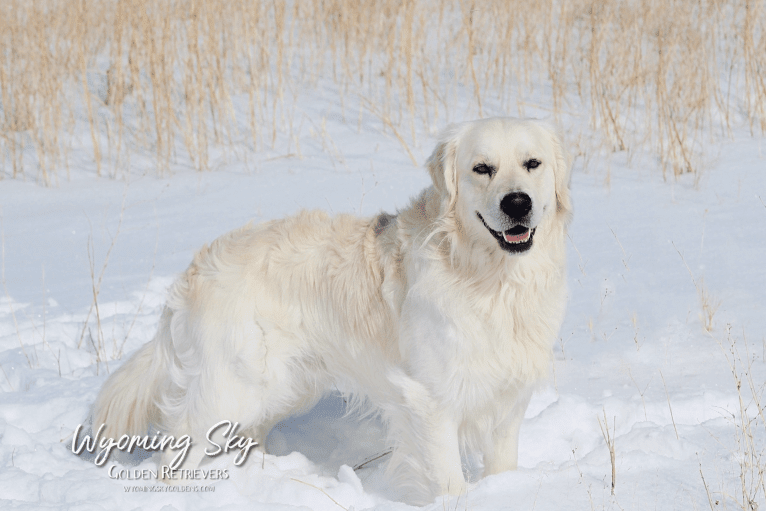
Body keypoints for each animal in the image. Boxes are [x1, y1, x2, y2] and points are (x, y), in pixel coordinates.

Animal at [93, 117, 572, 504]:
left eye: (532, 163)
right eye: (481, 168)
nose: (517, 203)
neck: (491, 279)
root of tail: (194, 270)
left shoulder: (507, 399)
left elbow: (503, 466)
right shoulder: (431, 401)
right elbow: (448, 481)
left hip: (283, 385)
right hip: (231, 386)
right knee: (178, 448)